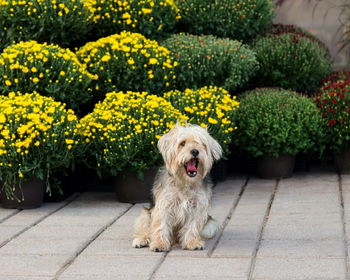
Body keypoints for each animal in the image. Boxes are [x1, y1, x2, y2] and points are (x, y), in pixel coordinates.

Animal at [131, 124, 221, 252]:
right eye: (182, 143)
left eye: (201, 143)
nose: (195, 151)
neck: (185, 182)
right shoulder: (164, 205)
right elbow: (161, 225)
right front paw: (159, 244)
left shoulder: (197, 206)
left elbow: (192, 225)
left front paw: (192, 242)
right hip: (145, 214)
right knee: (145, 228)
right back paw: (141, 240)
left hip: (210, 225)